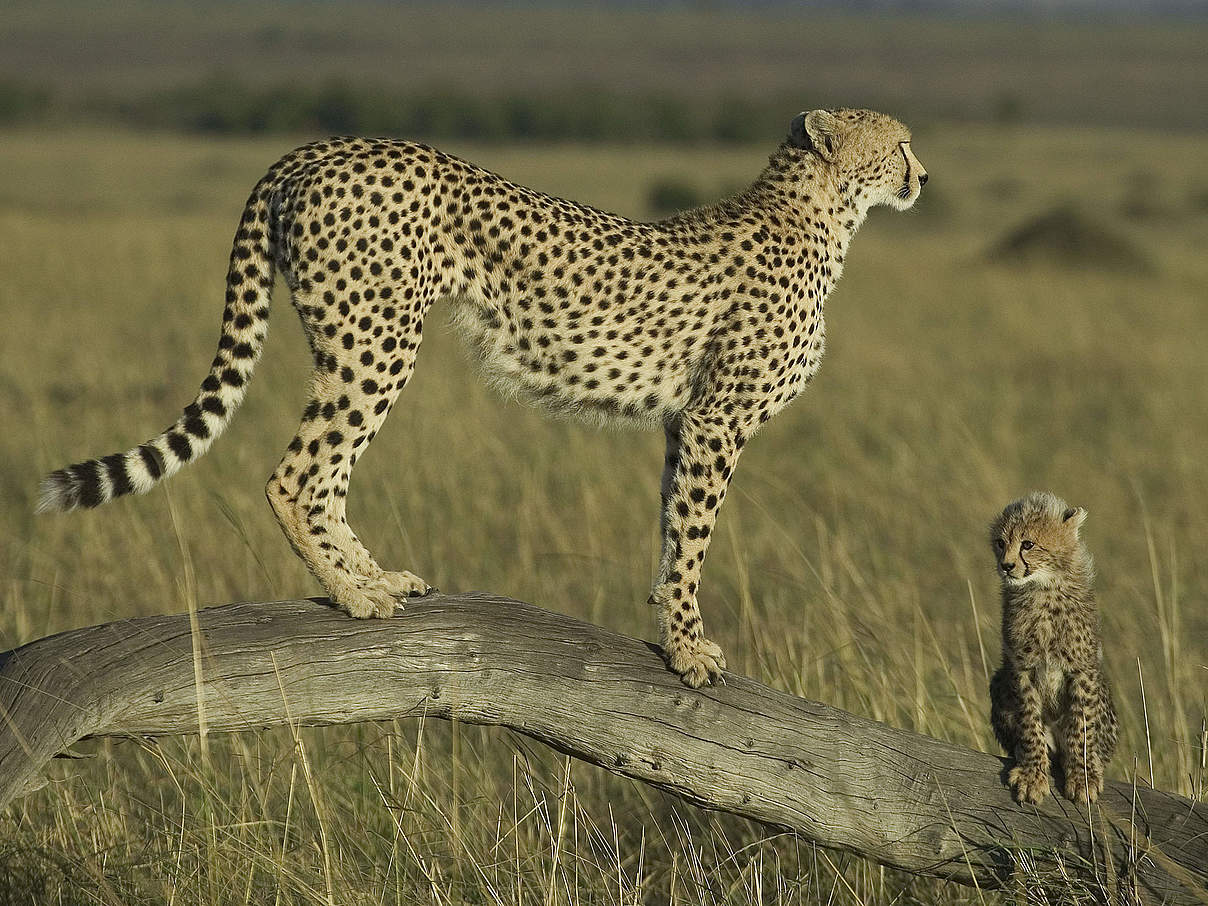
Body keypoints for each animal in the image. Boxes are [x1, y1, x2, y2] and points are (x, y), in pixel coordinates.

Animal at [37, 108, 922, 686]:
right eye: (902, 143)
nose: (923, 175)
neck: (822, 216)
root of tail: (323, 144)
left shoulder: (684, 422)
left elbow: (675, 528)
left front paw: (670, 629)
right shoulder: (717, 420)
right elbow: (697, 537)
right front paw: (687, 649)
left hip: (358, 343)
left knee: (326, 474)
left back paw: (377, 577)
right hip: (377, 340)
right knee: (297, 474)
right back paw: (351, 593)